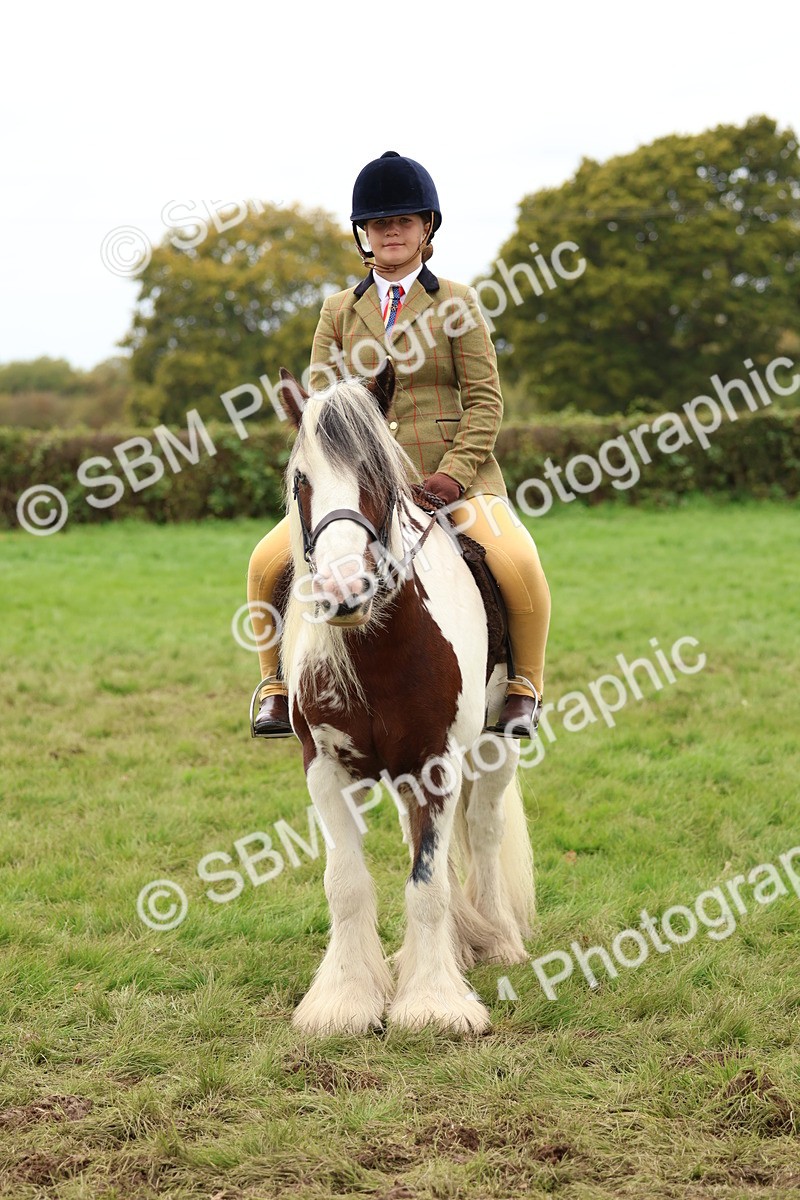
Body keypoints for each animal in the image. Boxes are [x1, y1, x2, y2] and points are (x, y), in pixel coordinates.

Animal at [274, 360, 536, 1034]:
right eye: (301, 481)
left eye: (375, 474)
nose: (343, 591)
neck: (379, 647)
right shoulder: (325, 767)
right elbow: (346, 883)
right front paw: (344, 999)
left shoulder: (436, 763)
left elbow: (427, 884)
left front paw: (434, 1004)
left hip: (497, 746)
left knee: (484, 829)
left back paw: (497, 939)